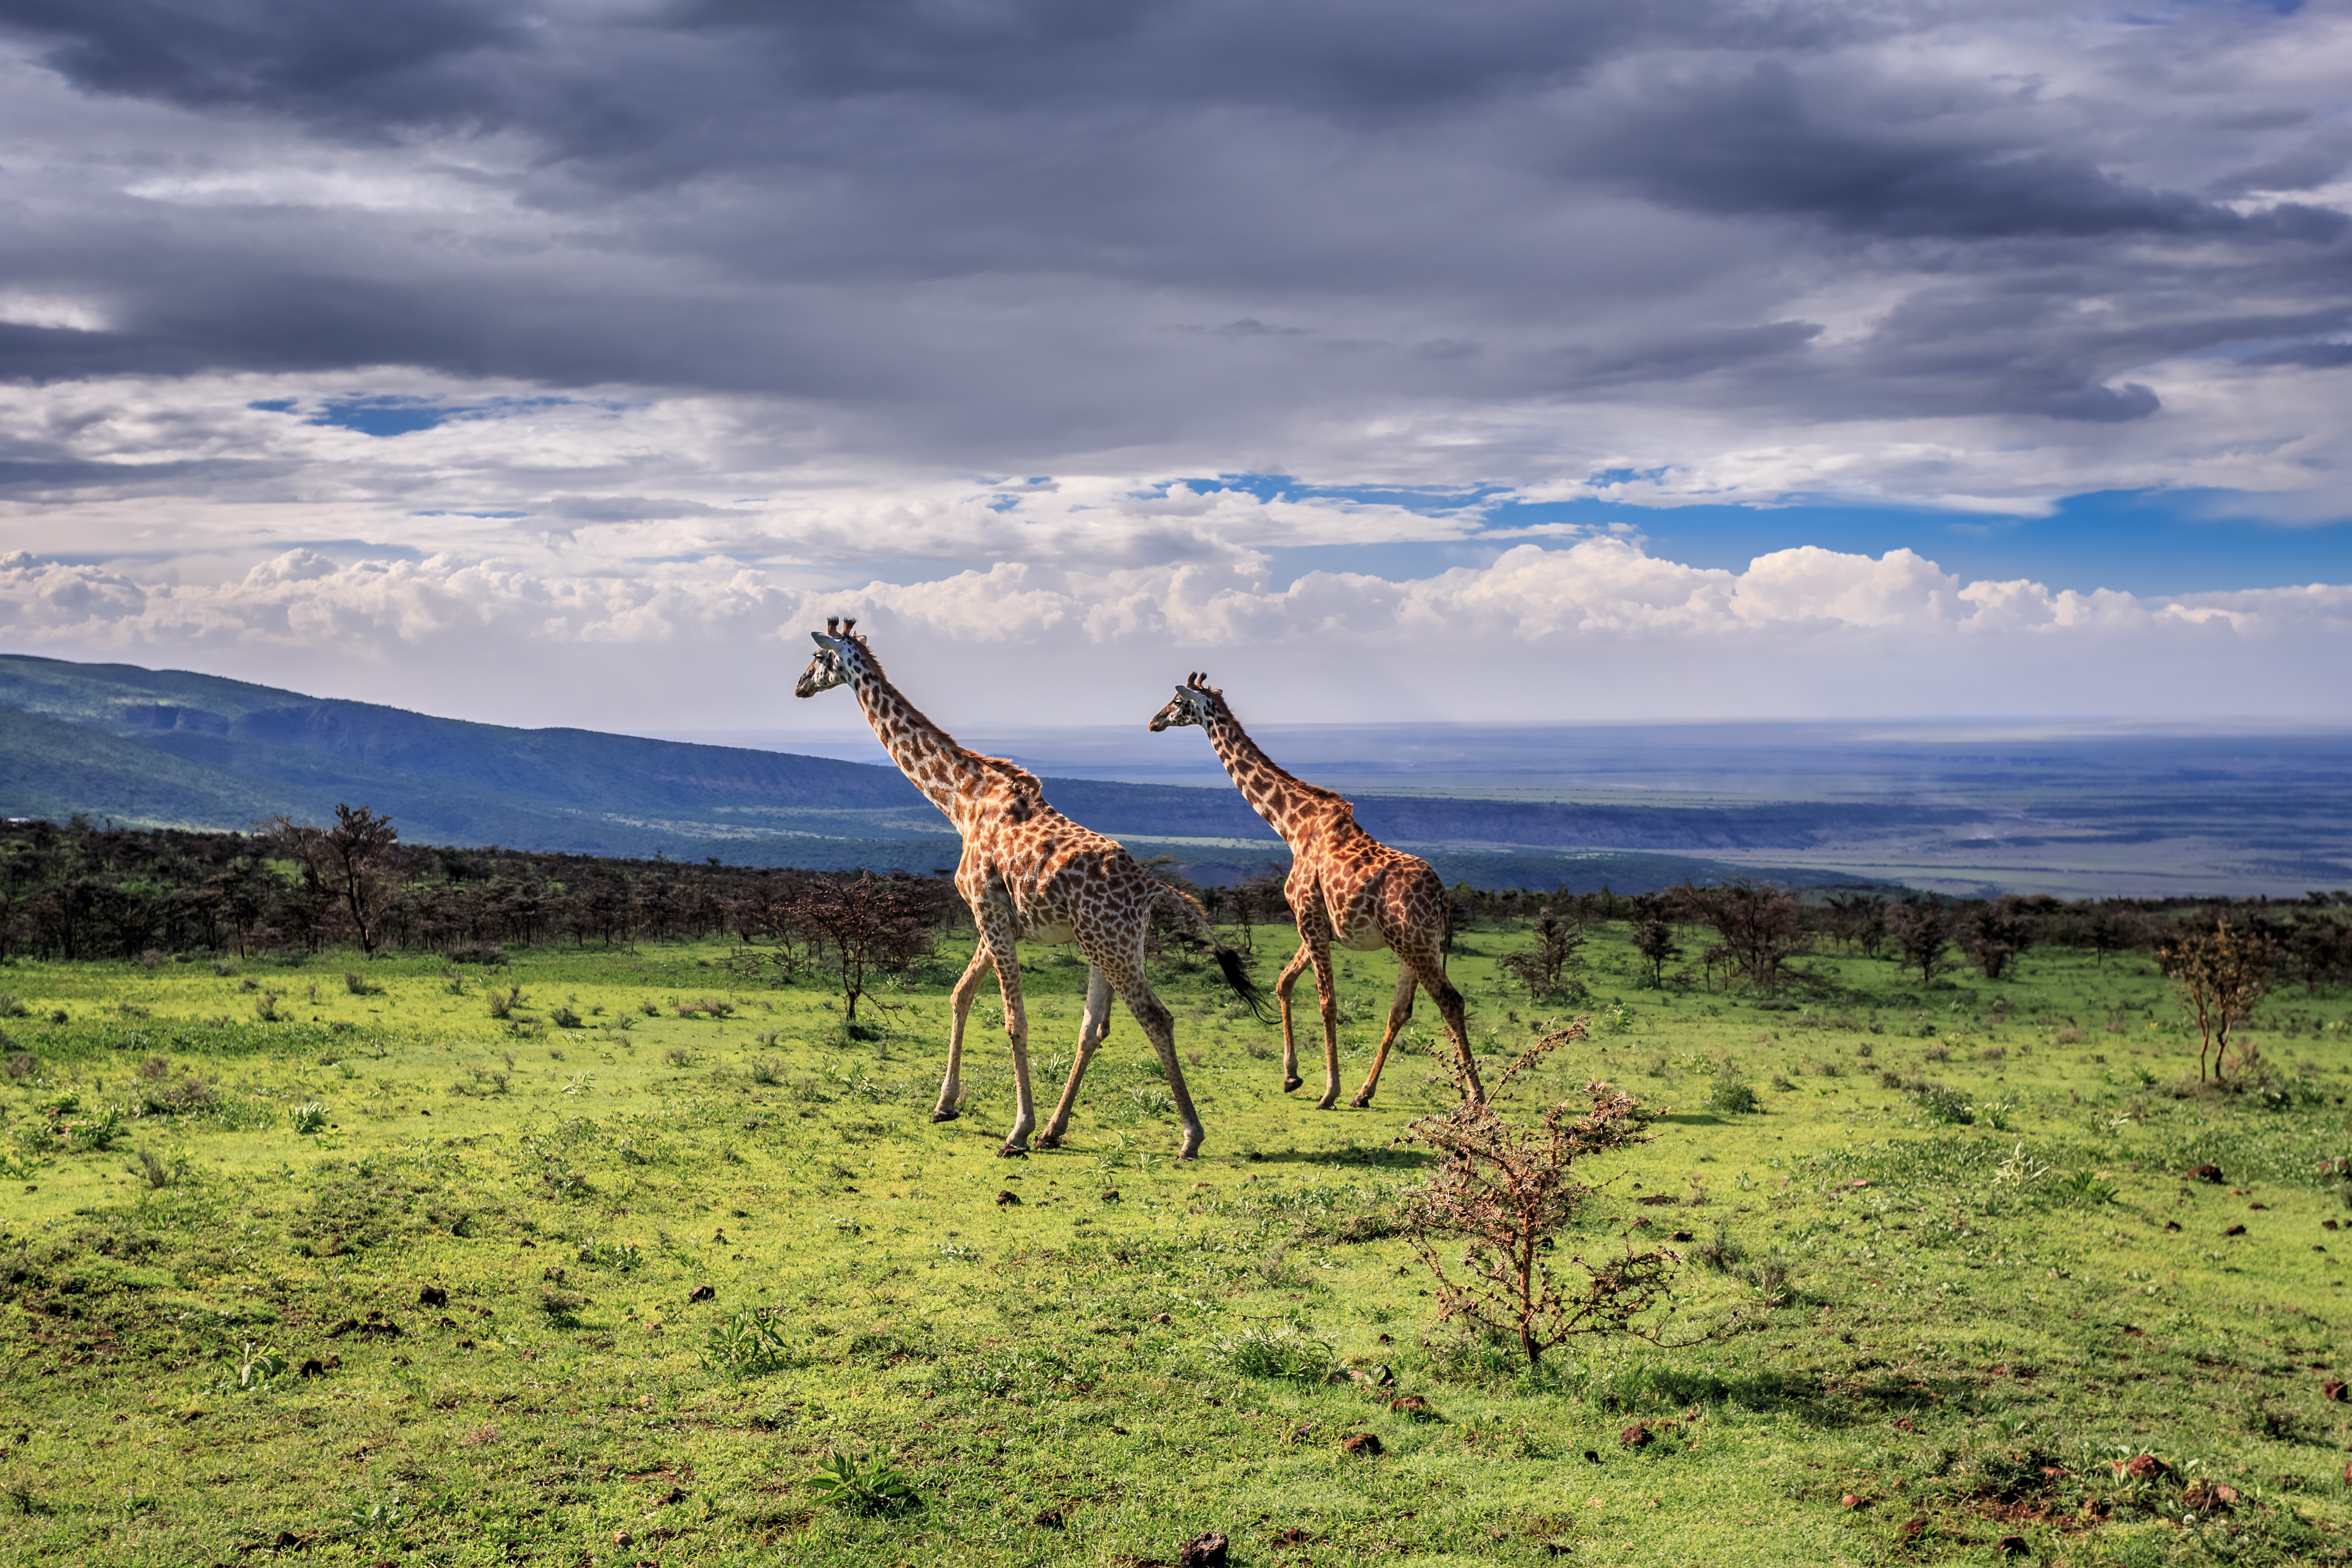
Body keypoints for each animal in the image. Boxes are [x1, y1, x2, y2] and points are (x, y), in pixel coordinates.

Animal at [795, 619, 1267, 1158]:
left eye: (817, 655)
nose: (800, 685)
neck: (961, 802)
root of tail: (1151, 887)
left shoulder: (987, 911)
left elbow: (1013, 1019)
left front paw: (1015, 1130)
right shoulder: (998, 919)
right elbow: (960, 995)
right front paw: (946, 1104)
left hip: (1112, 947)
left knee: (1156, 1017)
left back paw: (1188, 1135)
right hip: (1108, 945)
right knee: (1094, 1028)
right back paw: (1054, 1130)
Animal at [1148, 673, 1485, 1109]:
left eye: (1176, 701)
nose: (1153, 721)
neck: (1293, 826)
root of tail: (1443, 897)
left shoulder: (1307, 916)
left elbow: (1327, 1001)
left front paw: (1328, 1090)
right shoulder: (1318, 925)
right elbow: (1284, 983)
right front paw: (1292, 1076)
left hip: (1414, 943)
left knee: (1450, 1000)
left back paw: (1475, 1095)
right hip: (1409, 946)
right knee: (1401, 1010)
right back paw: (1364, 1093)